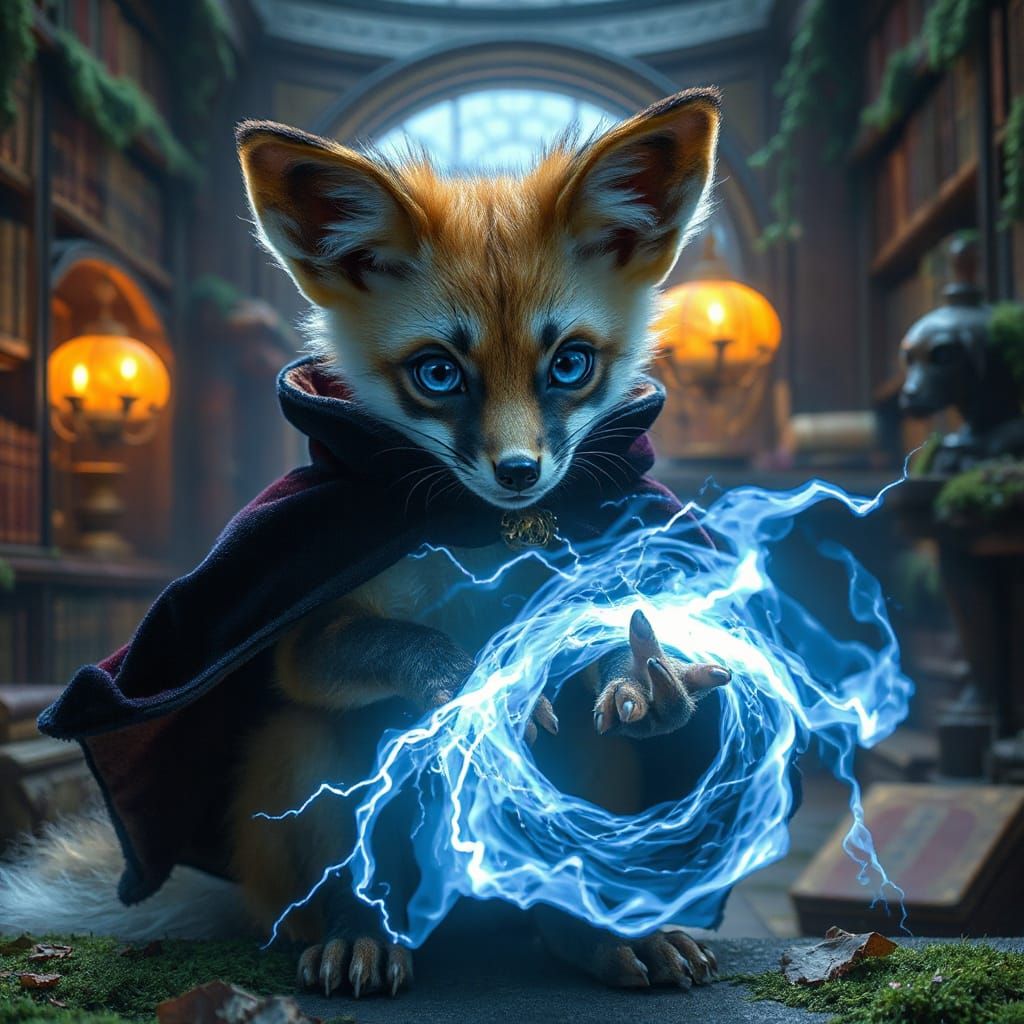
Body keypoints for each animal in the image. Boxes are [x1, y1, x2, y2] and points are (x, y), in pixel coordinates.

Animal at [1, 87, 734, 999]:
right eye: (439, 373)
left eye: (569, 365)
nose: (519, 474)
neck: (479, 539)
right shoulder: (299, 634)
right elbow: (393, 645)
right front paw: (458, 675)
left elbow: (593, 659)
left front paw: (643, 680)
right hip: (307, 765)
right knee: (340, 874)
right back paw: (361, 937)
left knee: (555, 888)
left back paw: (601, 936)